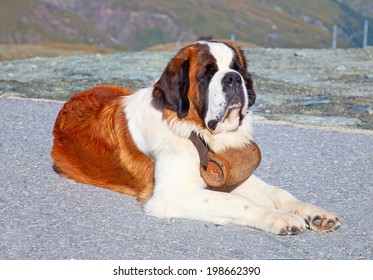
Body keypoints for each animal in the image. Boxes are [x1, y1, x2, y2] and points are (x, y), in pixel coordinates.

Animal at [52, 41, 340, 234]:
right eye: (207, 73)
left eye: (237, 69)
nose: (233, 78)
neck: (196, 133)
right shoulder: (170, 195)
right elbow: (237, 202)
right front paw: (279, 218)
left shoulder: (230, 174)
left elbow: (278, 192)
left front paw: (313, 213)